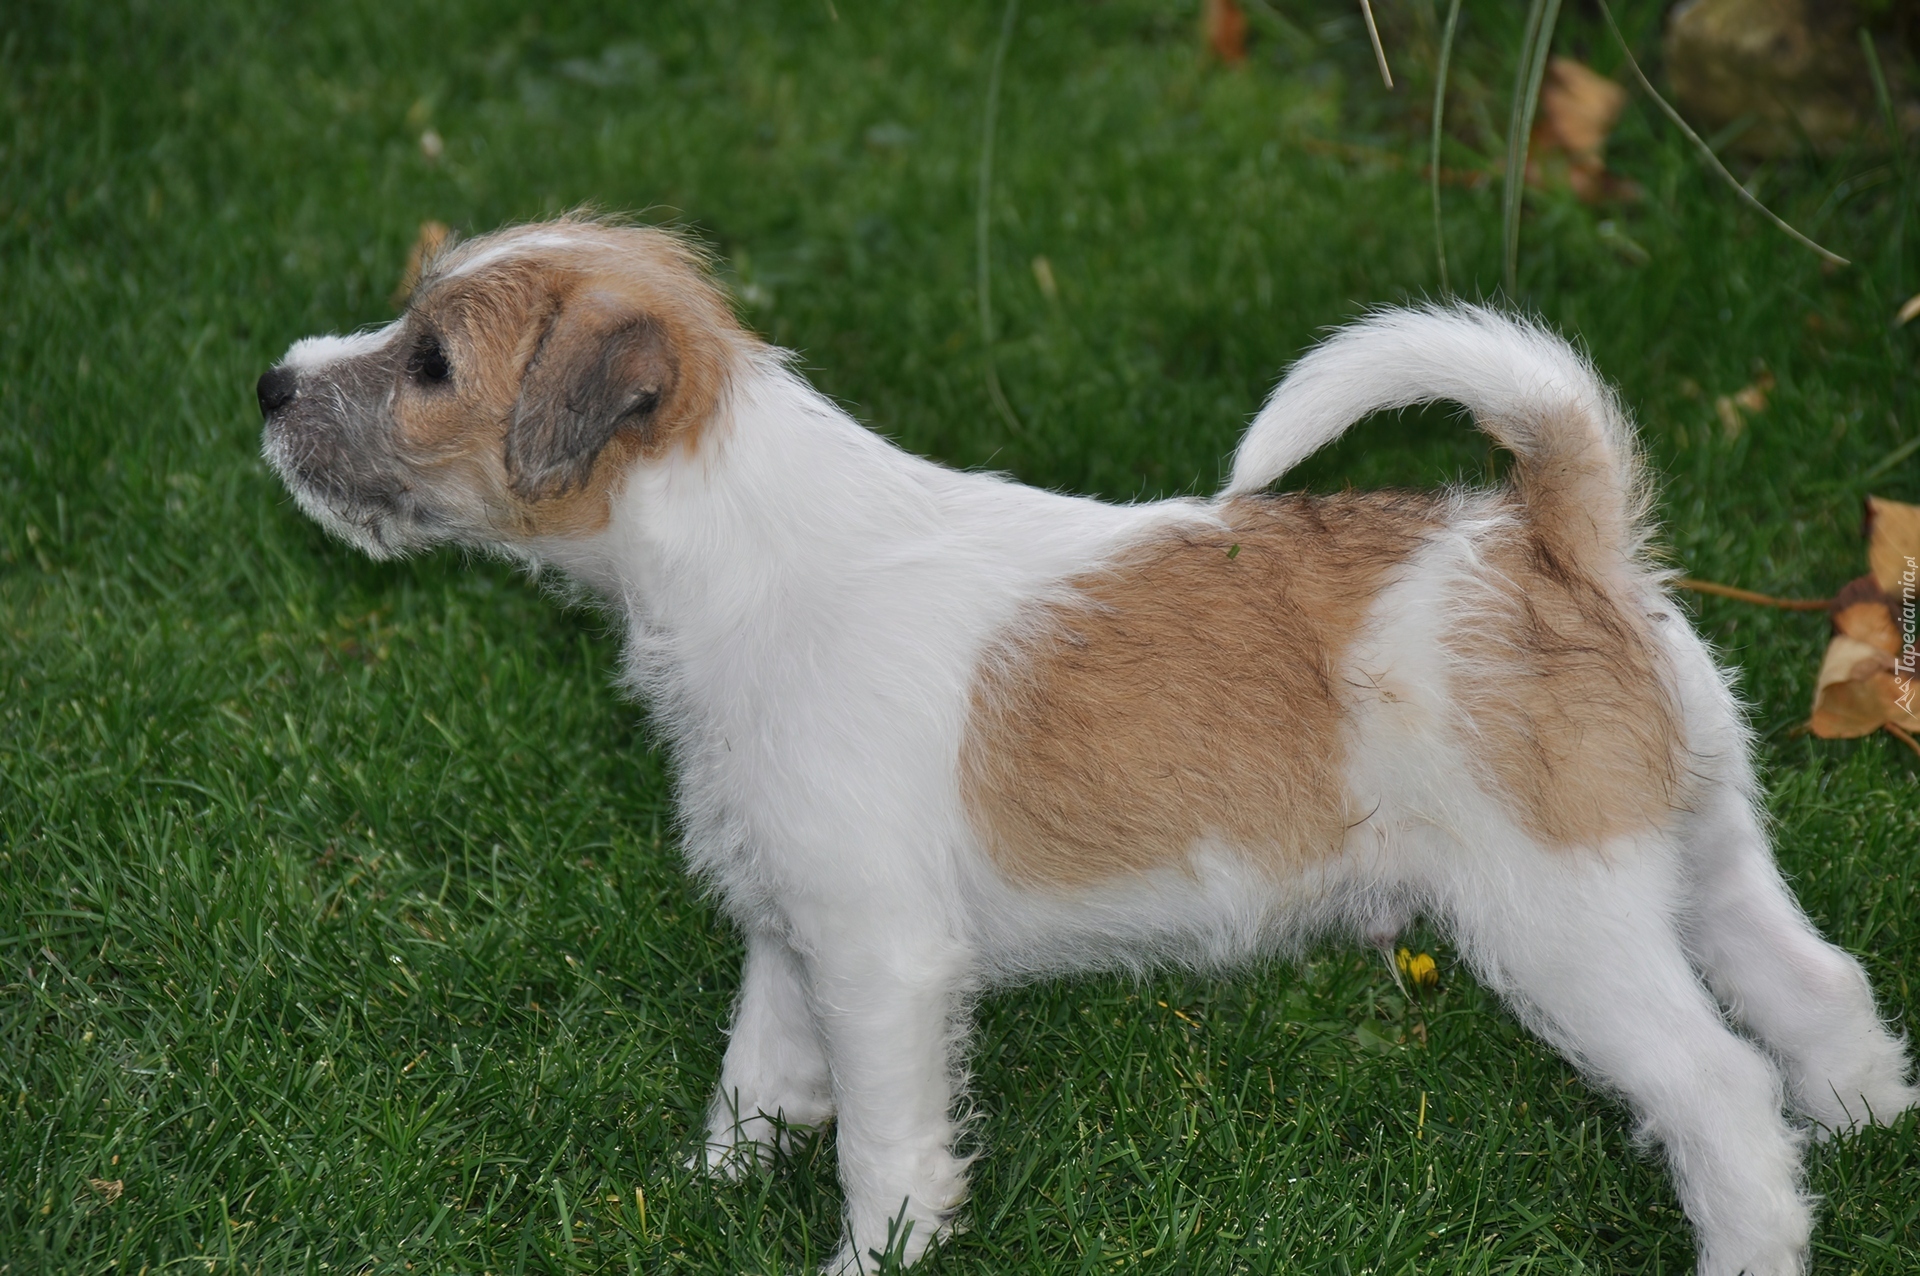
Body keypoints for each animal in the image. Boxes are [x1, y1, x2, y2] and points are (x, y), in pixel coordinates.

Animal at [263, 218, 1912, 1274]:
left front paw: (868, 1259)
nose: (272, 383)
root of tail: (1563, 544)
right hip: (1702, 853)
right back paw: (1875, 1125)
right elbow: (757, 1083)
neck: (747, 550)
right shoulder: (797, 931)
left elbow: (882, 1150)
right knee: (1818, 988)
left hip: (1565, 922)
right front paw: (703, 1196)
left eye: (428, 363)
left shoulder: (881, 963)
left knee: (1721, 1093)